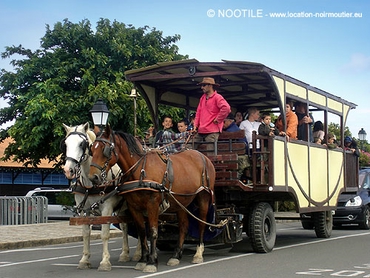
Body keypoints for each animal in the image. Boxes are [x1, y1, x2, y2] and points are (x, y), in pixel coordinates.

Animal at [62, 122, 140, 270]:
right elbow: (86, 233)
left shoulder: (107, 209)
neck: (90, 185)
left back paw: (138, 253)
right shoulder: (84, 210)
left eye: (82, 144)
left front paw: (105, 261)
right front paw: (84, 259)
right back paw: (124, 254)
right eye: (66, 143)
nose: (69, 170)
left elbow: (104, 234)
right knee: (125, 226)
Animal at [89, 126, 215, 274]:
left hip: (203, 197)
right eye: (92, 150)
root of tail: (204, 156)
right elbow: (142, 232)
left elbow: (153, 231)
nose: (93, 177)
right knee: (184, 226)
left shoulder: (153, 204)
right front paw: (143, 259)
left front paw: (152, 262)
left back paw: (198, 253)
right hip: (182, 201)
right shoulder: (134, 207)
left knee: (202, 223)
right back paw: (176, 255)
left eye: (105, 150)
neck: (140, 169)